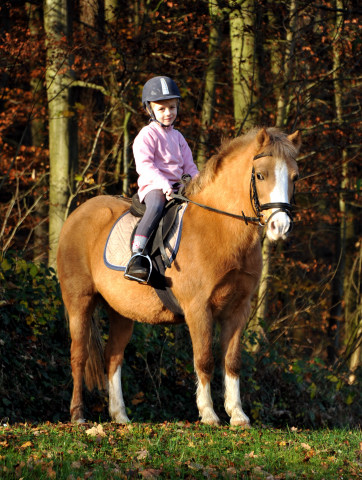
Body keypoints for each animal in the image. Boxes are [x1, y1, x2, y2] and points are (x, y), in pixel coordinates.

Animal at [56, 126, 300, 424]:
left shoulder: (237, 310)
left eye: (294, 177)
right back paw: (78, 415)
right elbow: (204, 359)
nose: (281, 226)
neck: (219, 228)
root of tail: (77, 215)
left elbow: (232, 361)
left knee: (112, 357)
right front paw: (208, 414)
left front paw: (237, 415)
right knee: (78, 355)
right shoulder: (198, 308)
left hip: (121, 312)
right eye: (261, 175)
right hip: (79, 302)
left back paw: (120, 416)